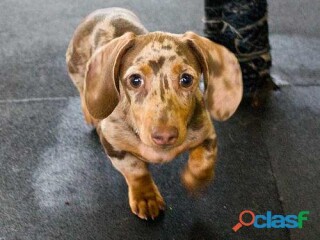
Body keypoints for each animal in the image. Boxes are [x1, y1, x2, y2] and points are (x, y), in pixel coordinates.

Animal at [67, 7, 242, 220]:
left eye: (186, 79)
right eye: (135, 80)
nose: (164, 136)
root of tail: (101, 11)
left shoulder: (207, 133)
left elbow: (204, 161)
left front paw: (194, 179)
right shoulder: (113, 145)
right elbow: (136, 171)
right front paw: (146, 197)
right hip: (77, 70)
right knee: (83, 91)